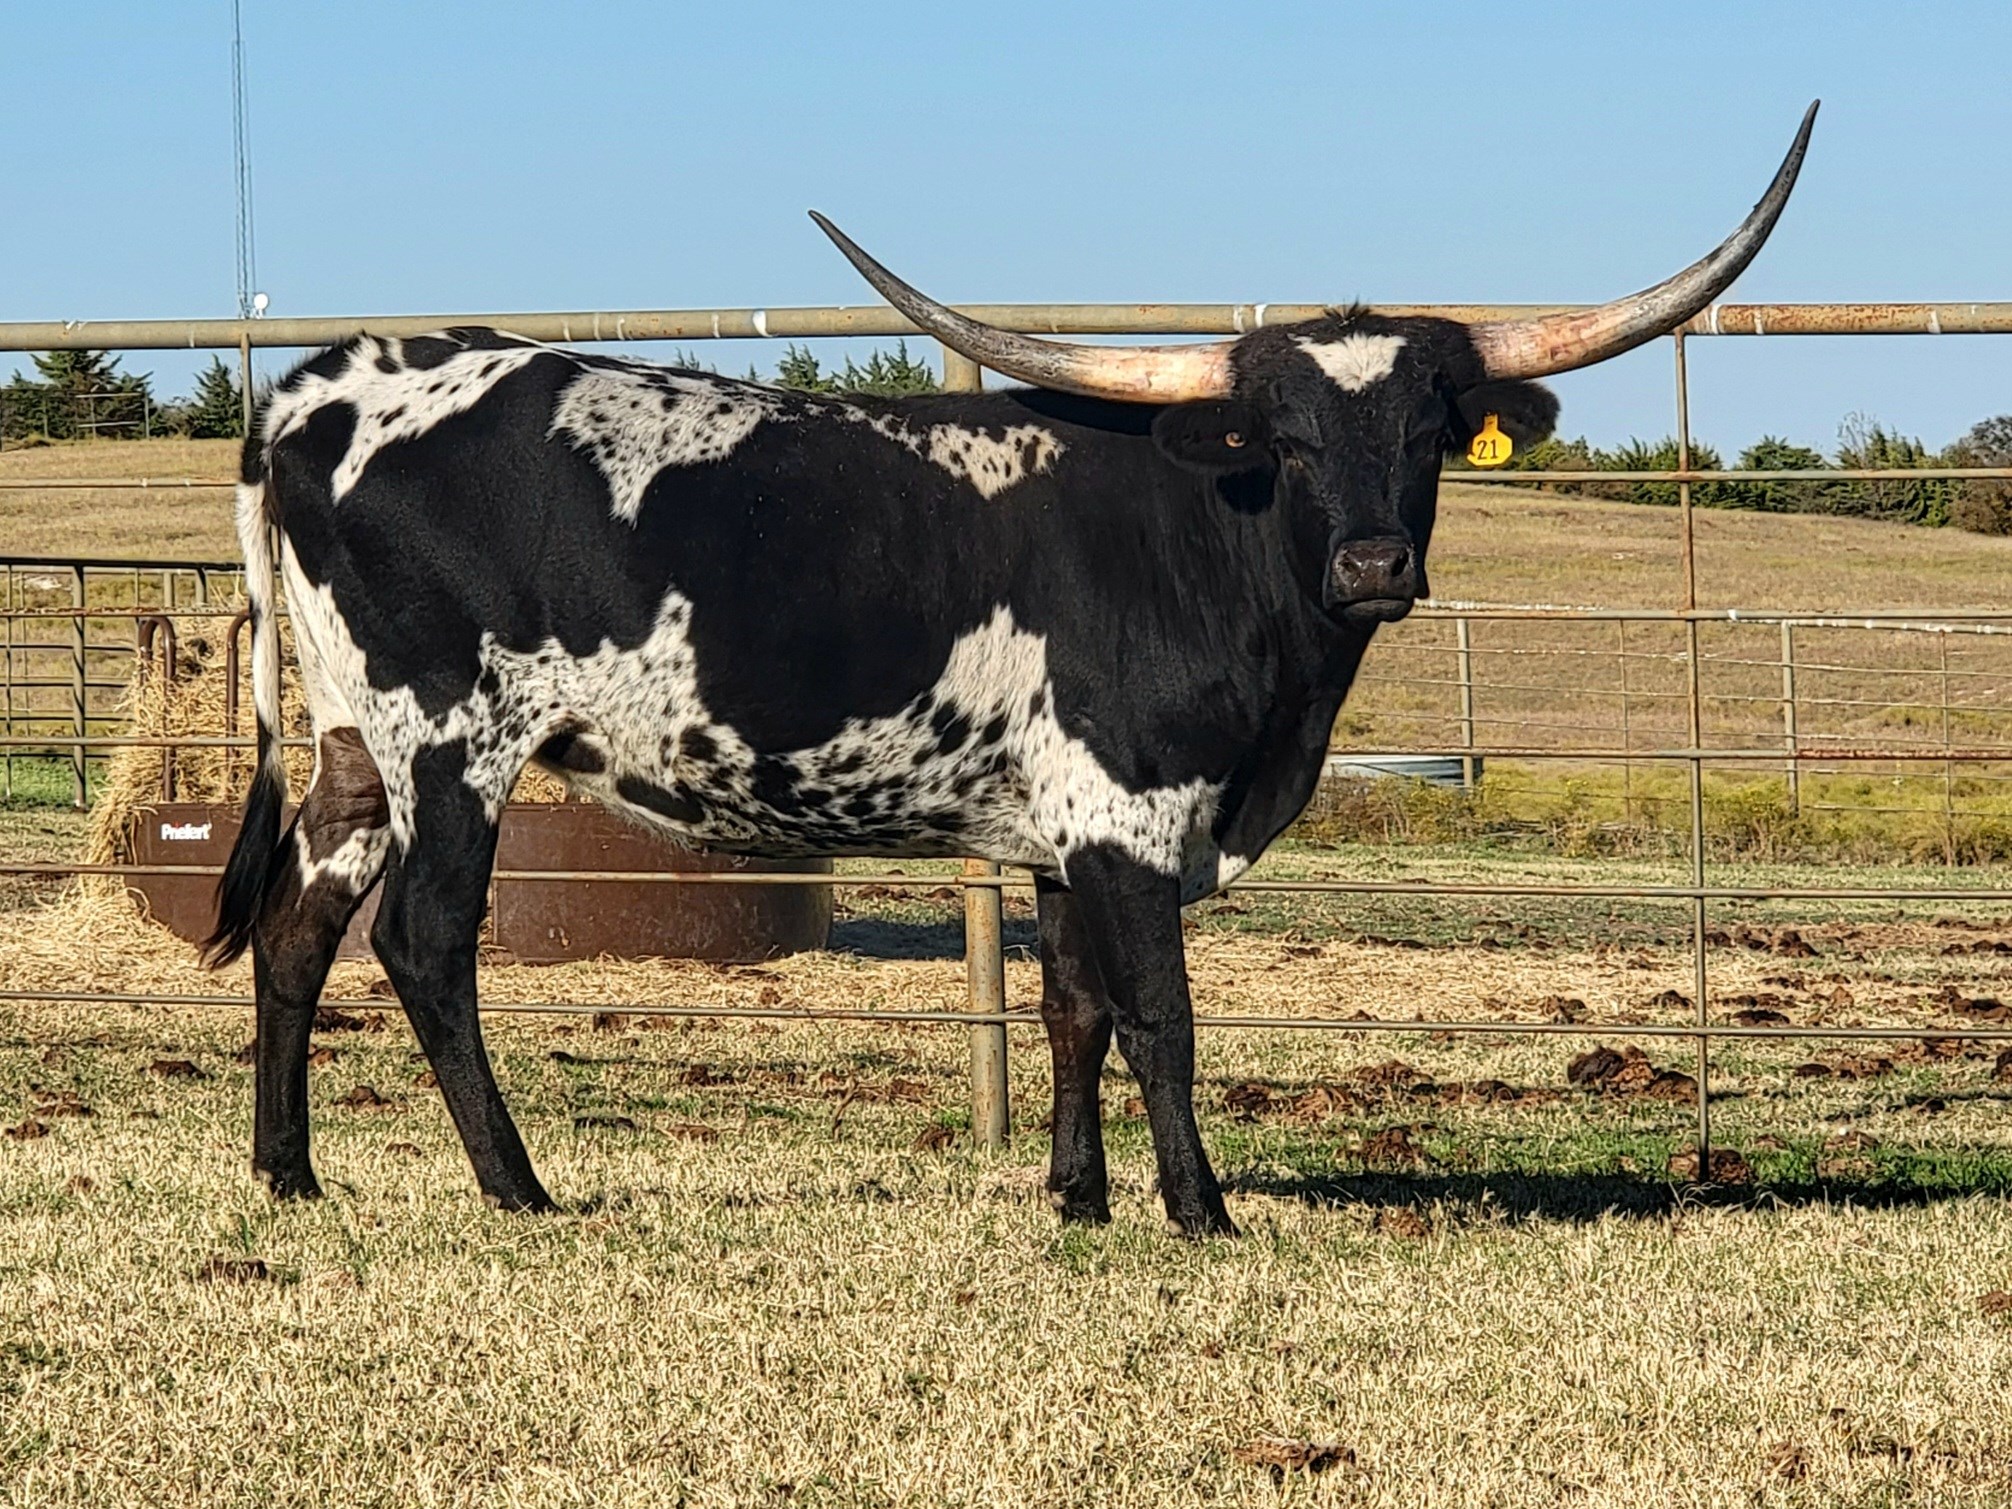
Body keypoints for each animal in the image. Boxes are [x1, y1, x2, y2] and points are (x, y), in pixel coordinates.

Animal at [206, 106, 1814, 1235]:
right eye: (1287, 438)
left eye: (1427, 431)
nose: (1372, 566)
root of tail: (334, 385)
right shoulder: (1131, 814)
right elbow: (1161, 1013)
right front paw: (1198, 1212)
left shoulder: (1058, 835)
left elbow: (1071, 1010)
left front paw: (1077, 1201)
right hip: (450, 743)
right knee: (424, 942)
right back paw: (517, 1187)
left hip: (350, 750)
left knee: (294, 932)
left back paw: (290, 1177)